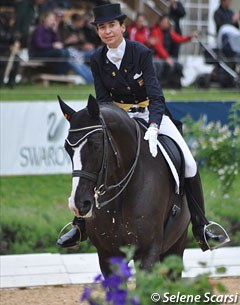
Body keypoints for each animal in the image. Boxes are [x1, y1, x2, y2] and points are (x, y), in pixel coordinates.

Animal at [58, 94, 189, 274]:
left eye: (95, 145)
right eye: (67, 148)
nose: (78, 204)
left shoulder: (147, 252)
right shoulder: (107, 255)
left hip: (176, 246)